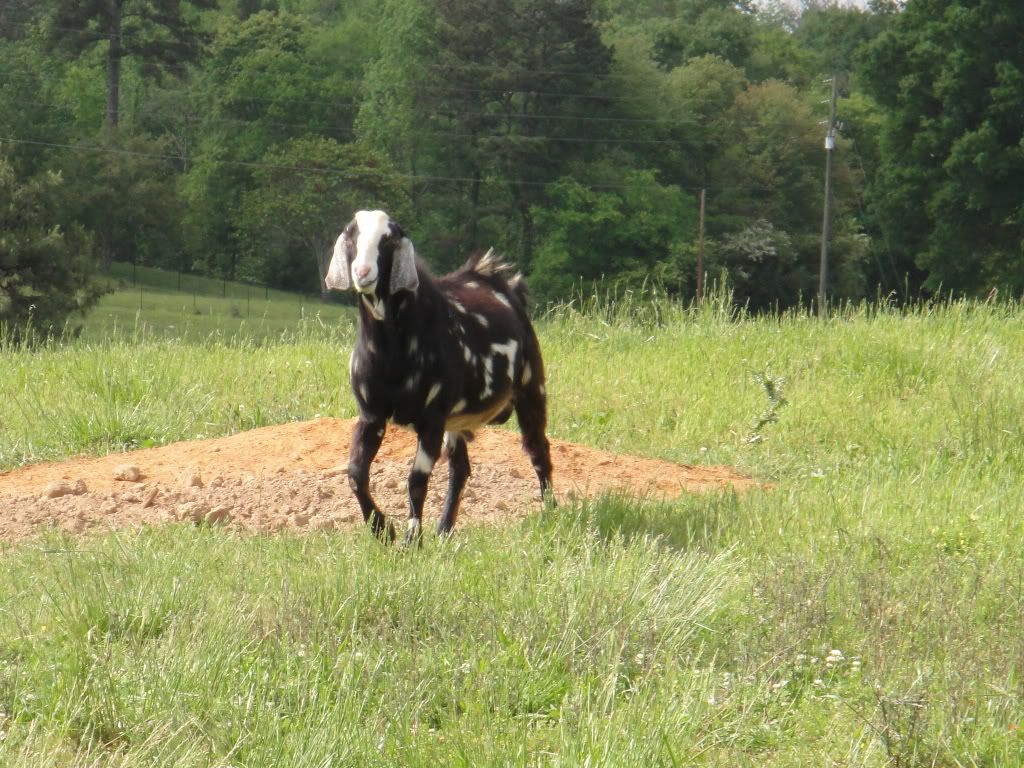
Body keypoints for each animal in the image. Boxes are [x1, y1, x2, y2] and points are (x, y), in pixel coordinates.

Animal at [325, 210, 552, 544]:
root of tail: (502, 283)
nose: (362, 272)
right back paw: (444, 530)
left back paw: (552, 512)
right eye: (351, 234)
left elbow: (416, 481)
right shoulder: (371, 416)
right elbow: (355, 474)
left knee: (538, 450)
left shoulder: (431, 420)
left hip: (530, 389)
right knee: (460, 469)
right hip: (456, 421)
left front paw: (411, 540)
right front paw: (383, 530)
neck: (392, 349)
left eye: (389, 239)